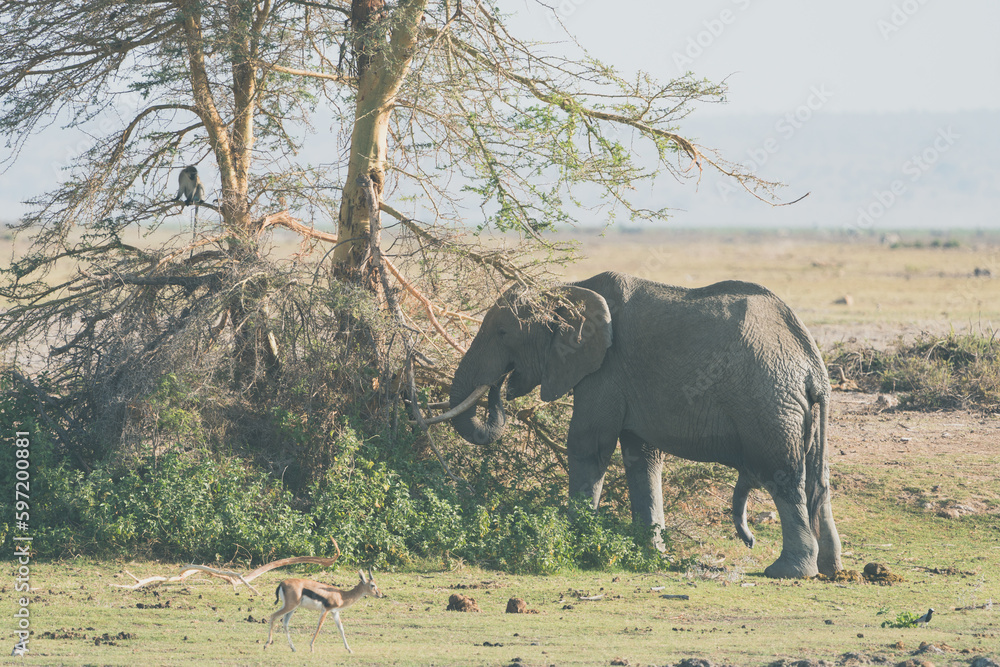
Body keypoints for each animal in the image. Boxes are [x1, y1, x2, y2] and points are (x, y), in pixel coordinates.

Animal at [448, 271, 842, 579]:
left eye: (502, 332)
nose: (499, 388)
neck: (565, 289)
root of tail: (812, 363)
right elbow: (642, 457)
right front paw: (651, 555)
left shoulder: (605, 369)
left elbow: (588, 445)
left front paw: (577, 545)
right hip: (798, 409)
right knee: (816, 478)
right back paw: (830, 569)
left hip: (768, 403)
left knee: (781, 474)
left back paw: (789, 572)